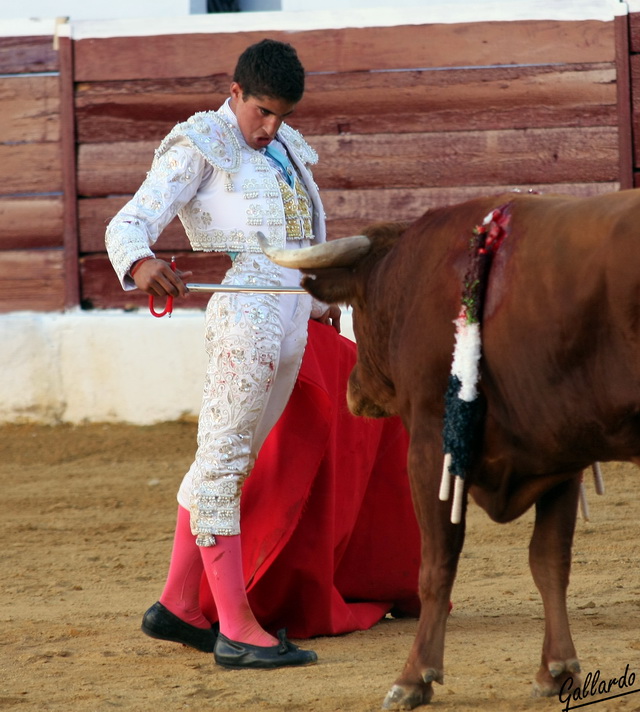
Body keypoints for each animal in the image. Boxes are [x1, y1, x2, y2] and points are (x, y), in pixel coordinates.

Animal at [258, 191, 640, 712]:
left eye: (357, 304)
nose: (352, 389)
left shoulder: (430, 448)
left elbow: (437, 565)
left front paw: (412, 678)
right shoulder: (560, 456)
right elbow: (549, 560)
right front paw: (556, 670)